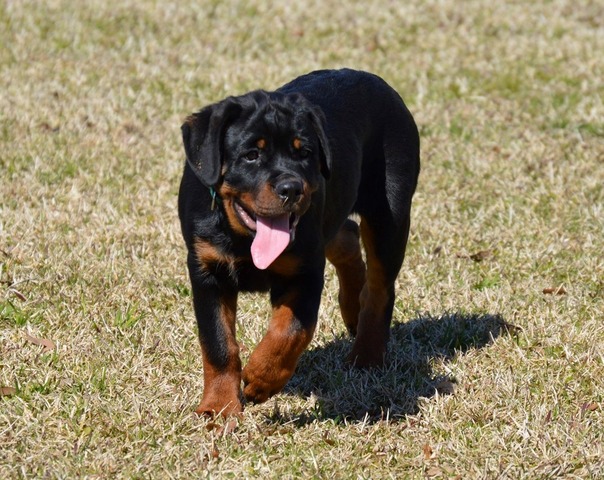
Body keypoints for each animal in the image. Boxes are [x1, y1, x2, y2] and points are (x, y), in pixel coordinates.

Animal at [177, 68, 418, 416]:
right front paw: (218, 407)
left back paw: (367, 355)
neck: (243, 237)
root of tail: (375, 80)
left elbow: (291, 329)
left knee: (379, 288)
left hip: (389, 213)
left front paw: (262, 377)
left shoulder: (305, 270)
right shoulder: (207, 271)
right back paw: (352, 308)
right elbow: (218, 342)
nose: (292, 188)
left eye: (304, 153)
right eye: (251, 155)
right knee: (346, 235)